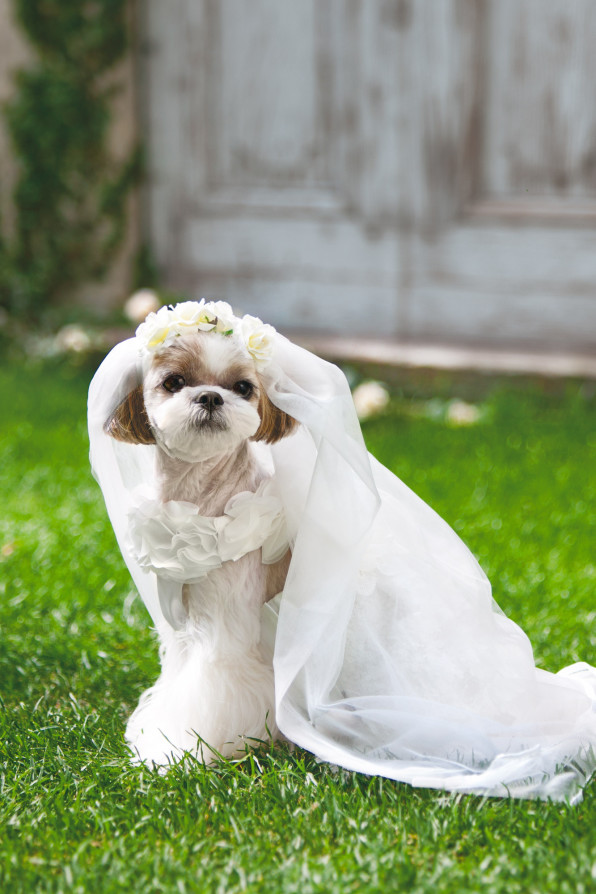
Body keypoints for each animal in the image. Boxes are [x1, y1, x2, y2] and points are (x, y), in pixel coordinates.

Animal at [105, 326, 298, 768]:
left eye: (243, 387)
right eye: (174, 382)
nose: (210, 396)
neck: (201, 500)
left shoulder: (225, 627)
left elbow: (210, 687)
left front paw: (179, 751)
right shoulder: (180, 620)